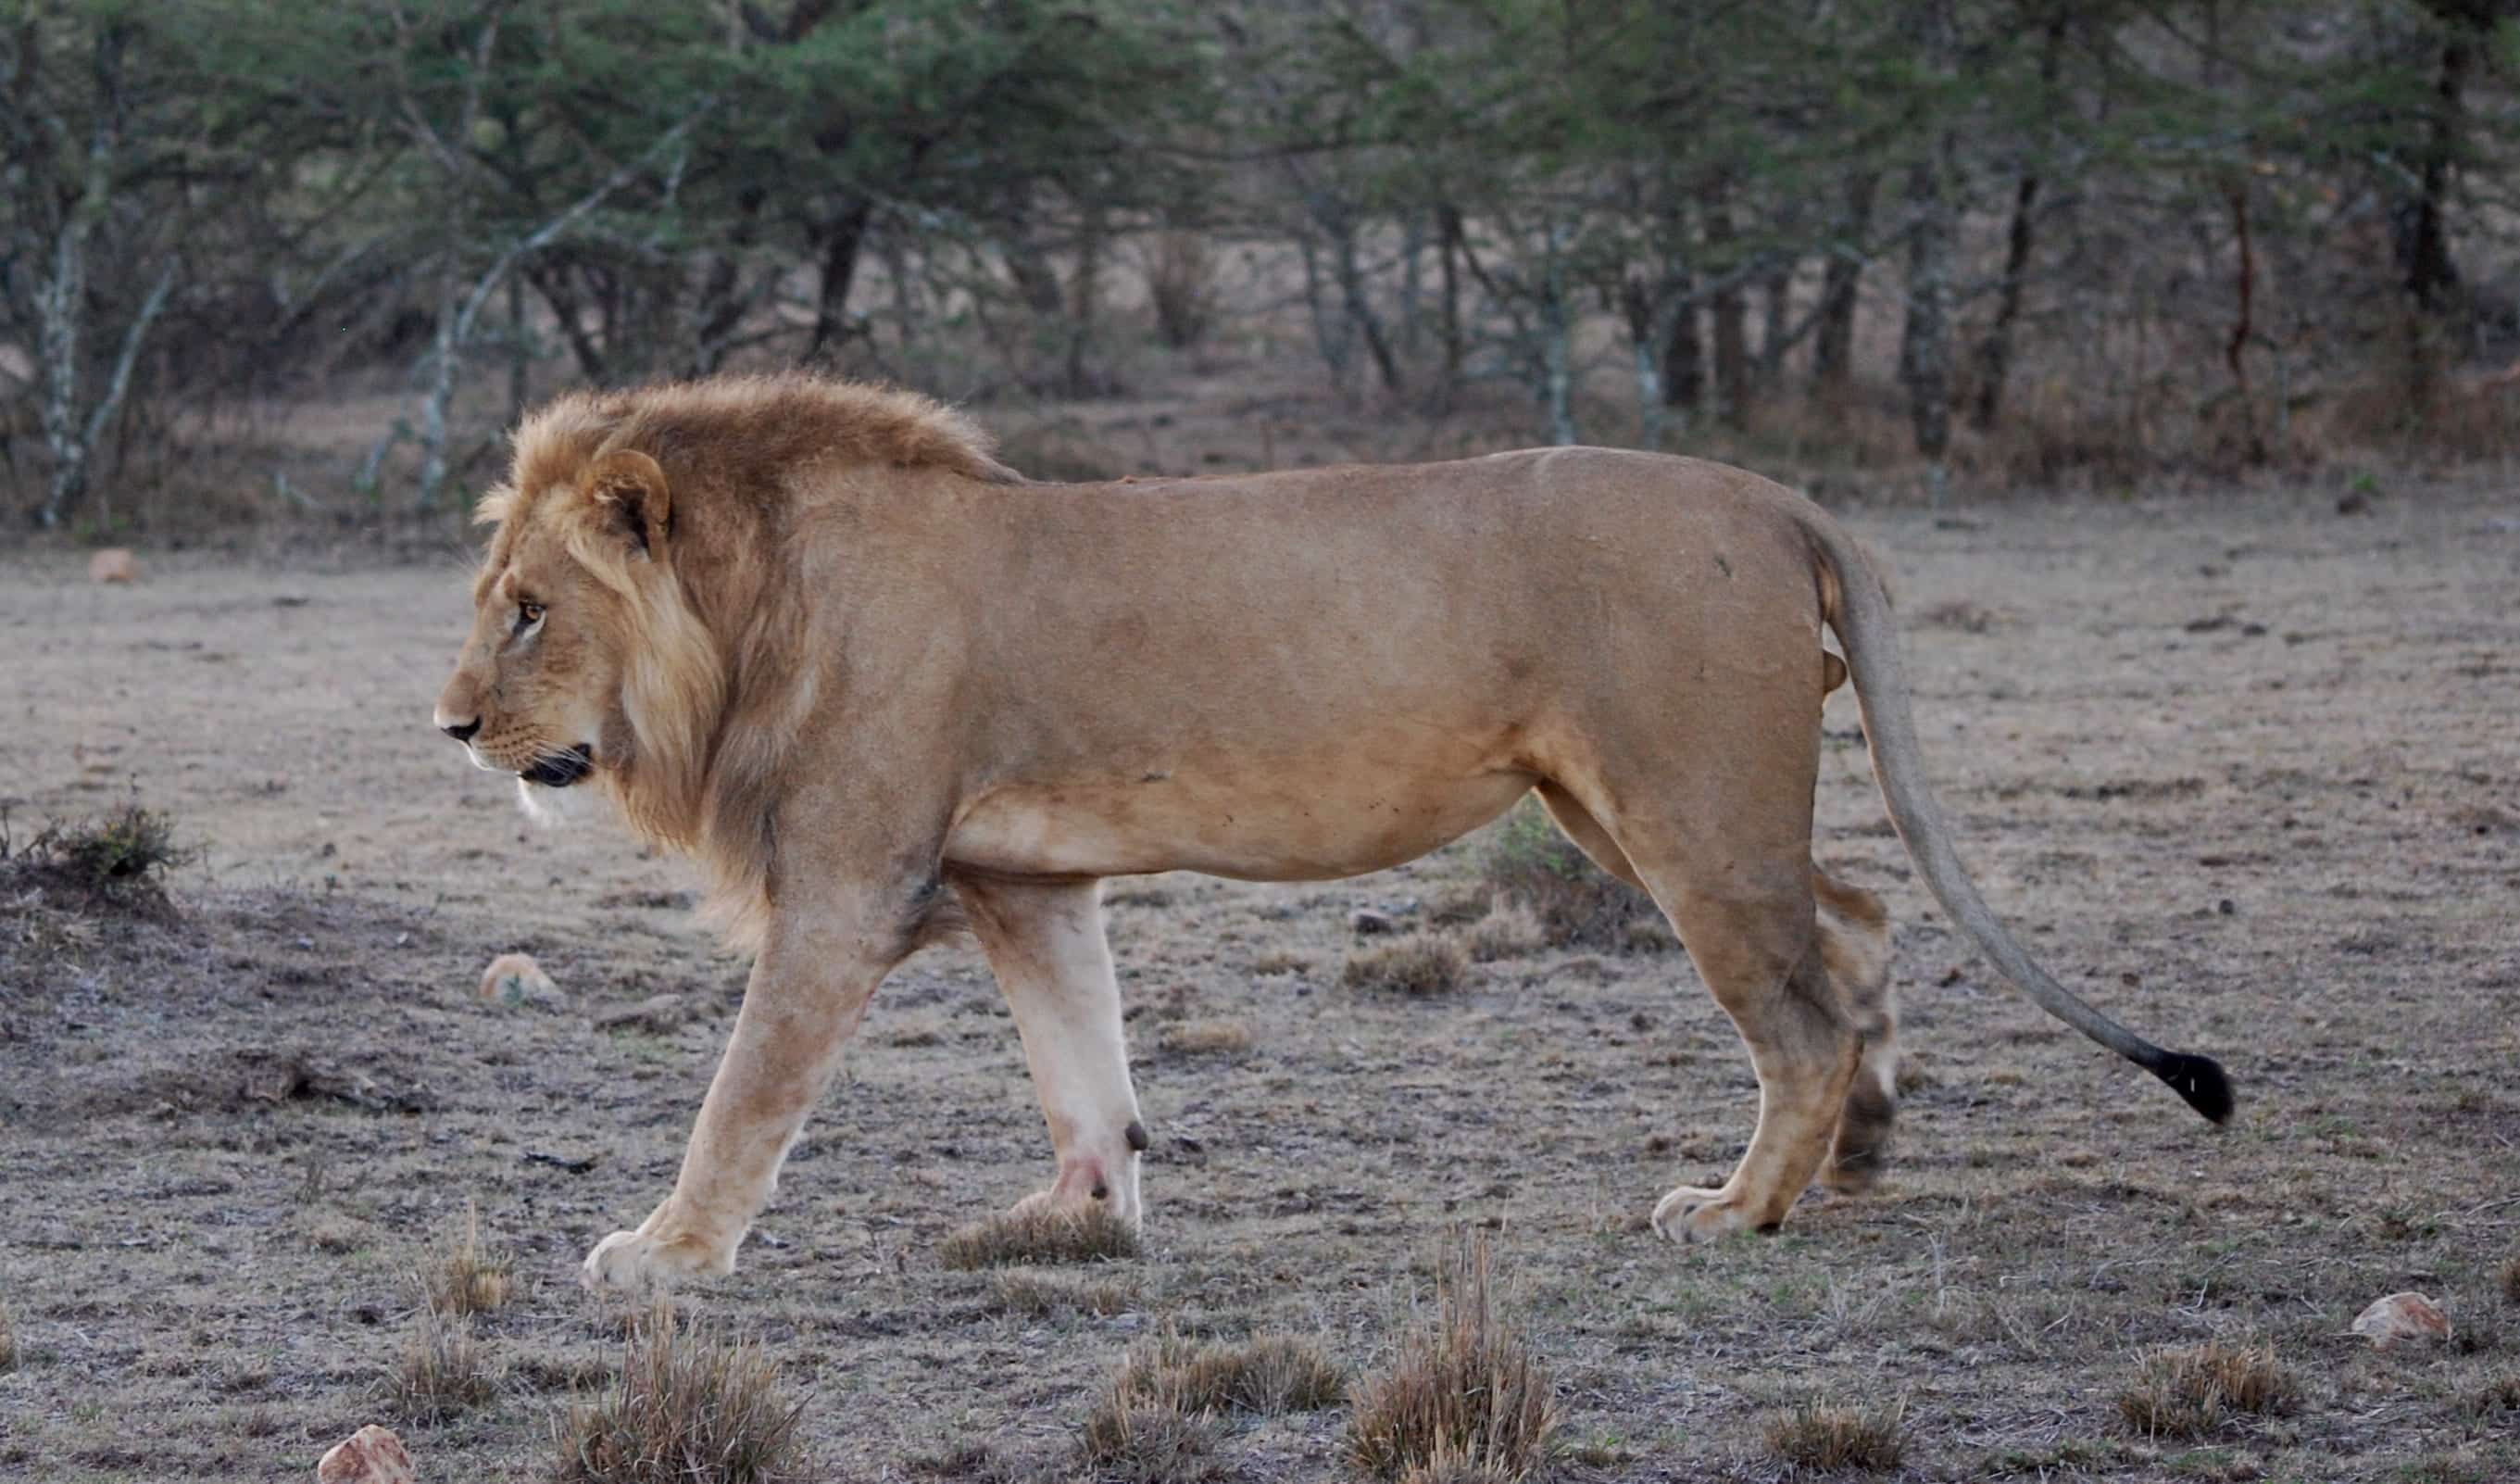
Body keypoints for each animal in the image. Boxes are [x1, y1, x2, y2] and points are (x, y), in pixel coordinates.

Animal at [431, 372, 2231, 1291]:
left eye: (528, 611)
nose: (452, 726)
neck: (757, 611)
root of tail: (1780, 496)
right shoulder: (1025, 881)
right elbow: (1084, 1066)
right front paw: (1073, 1218)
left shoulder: (851, 881)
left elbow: (741, 1095)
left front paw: (664, 1250)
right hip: (1627, 808)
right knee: (1853, 922)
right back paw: (1856, 1158)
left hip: (1685, 808)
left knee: (1796, 1004)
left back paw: (1738, 1208)